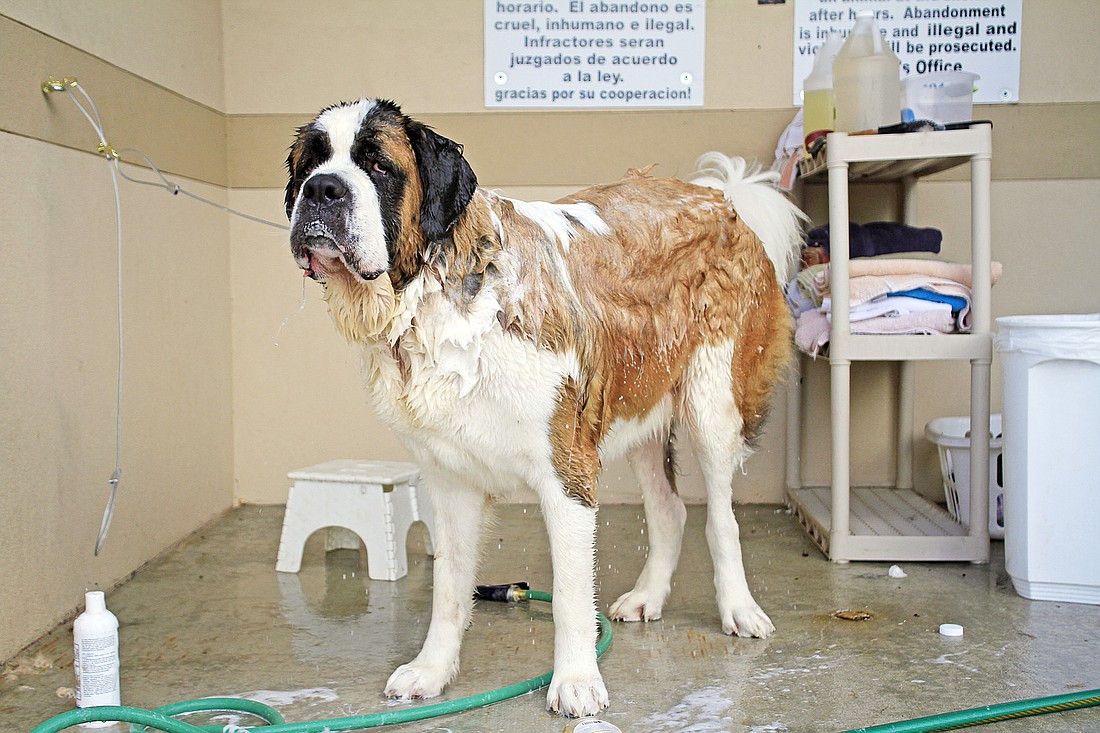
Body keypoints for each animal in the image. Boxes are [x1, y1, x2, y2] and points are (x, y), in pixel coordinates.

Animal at [286, 100, 809, 717]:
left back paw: (739, 610)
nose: (322, 190)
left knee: (721, 518)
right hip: (638, 406)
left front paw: (577, 683)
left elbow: (569, 596)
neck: (436, 301)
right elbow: (448, 587)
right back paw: (648, 596)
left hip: (712, 402)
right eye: (311, 164)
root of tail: (719, 198)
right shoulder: (451, 478)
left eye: (377, 166)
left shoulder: (567, 470)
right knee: (670, 511)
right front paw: (432, 672)